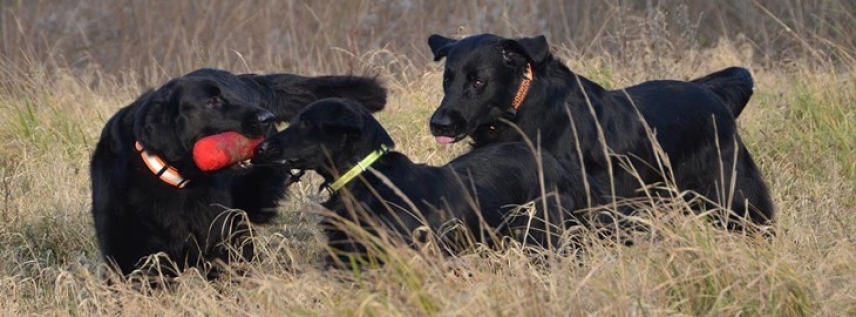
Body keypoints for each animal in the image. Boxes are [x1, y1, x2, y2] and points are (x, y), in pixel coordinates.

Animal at [90, 67, 384, 278]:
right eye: (212, 102)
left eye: (236, 98)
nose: (267, 118)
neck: (175, 179)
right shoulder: (130, 256)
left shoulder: (222, 241)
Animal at [428, 33, 776, 231]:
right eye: (447, 80)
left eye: (478, 81)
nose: (439, 124)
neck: (520, 109)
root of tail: (713, 95)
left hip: (734, 196)